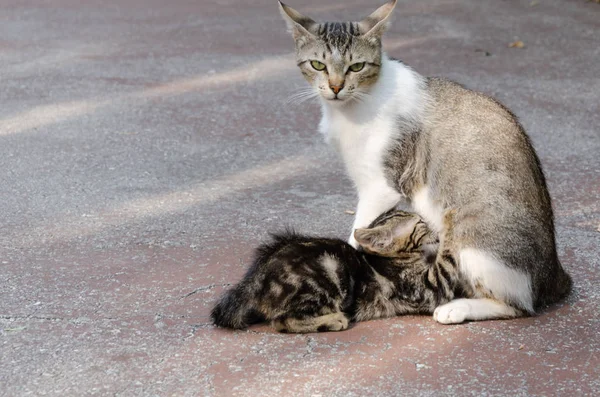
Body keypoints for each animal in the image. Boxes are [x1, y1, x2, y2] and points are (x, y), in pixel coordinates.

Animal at [211, 209, 464, 332]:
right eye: (421, 223)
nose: (433, 227)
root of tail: (255, 278)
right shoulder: (428, 289)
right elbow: (446, 258)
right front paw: (452, 223)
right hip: (326, 275)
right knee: (282, 321)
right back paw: (333, 320)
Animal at [278, 0, 576, 324]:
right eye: (318, 65)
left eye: (356, 66)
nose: (335, 87)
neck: (352, 106)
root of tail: (554, 278)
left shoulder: (380, 187)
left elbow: (359, 232)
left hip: (471, 237)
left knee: (517, 305)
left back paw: (457, 308)